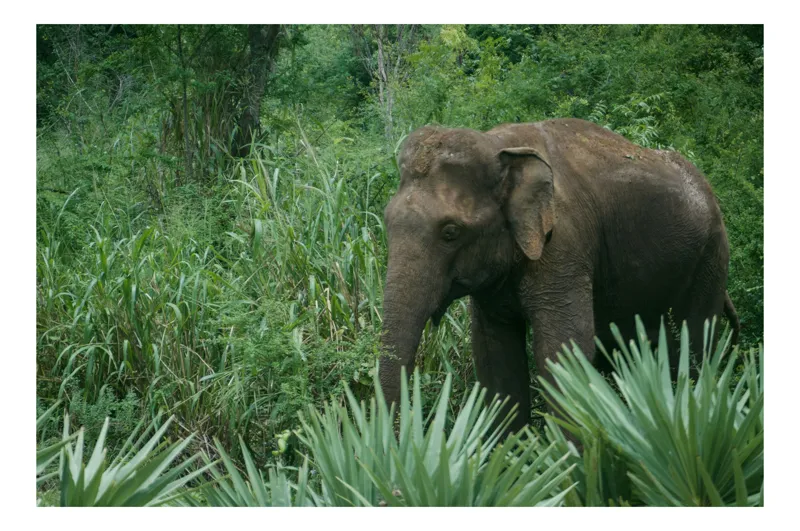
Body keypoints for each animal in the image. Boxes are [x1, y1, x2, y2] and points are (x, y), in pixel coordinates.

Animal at [378, 118, 740, 431]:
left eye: (450, 232)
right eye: (387, 221)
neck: (500, 144)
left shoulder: (564, 245)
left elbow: (563, 351)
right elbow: (495, 358)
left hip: (712, 257)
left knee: (695, 349)